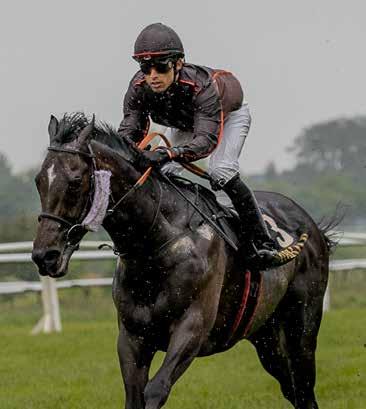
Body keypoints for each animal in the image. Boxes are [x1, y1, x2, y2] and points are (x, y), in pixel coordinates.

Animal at [32, 113, 332, 408]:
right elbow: (134, 395)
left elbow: (156, 390)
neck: (155, 245)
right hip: (265, 335)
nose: (44, 256)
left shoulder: (192, 329)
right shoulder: (132, 337)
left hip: (301, 327)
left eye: (74, 181)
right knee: (292, 388)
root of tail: (311, 225)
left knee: (304, 388)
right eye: (38, 181)